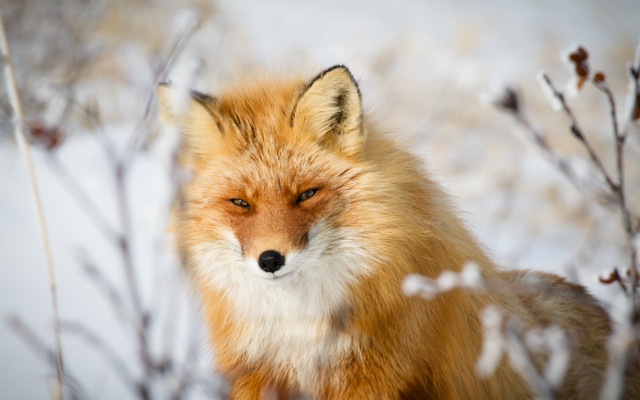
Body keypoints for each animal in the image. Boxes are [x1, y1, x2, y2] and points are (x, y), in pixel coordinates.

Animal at [156, 65, 639, 399]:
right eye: (240, 203)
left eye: (307, 194)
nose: (270, 260)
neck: (301, 327)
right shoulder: (256, 376)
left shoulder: (378, 377)